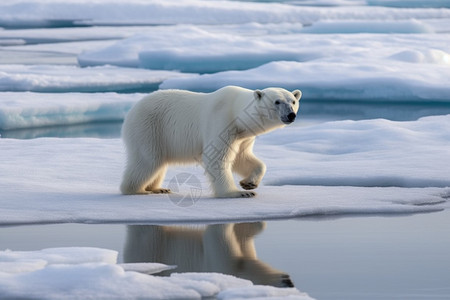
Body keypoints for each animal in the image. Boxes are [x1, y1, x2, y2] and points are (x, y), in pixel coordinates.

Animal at [121, 85, 300, 197]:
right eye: (277, 102)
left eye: (293, 101)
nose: (291, 115)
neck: (236, 113)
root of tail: (131, 112)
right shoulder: (221, 121)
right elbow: (217, 157)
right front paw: (238, 193)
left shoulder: (243, 136)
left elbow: (242, 157)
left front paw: (249, 183)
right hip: (149, 128)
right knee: (148, 160)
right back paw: (137, 190)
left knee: (159, 163)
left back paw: (159, 188)